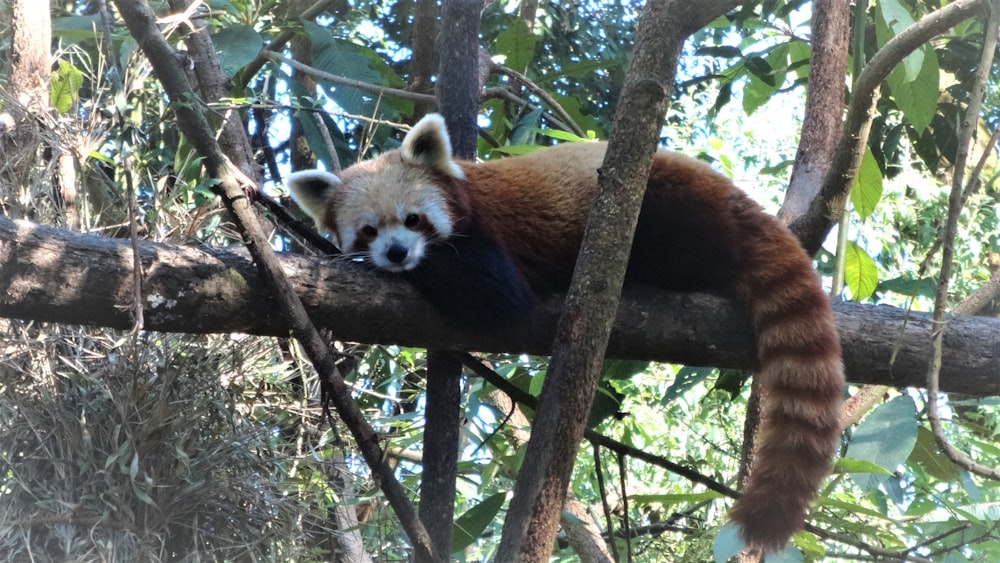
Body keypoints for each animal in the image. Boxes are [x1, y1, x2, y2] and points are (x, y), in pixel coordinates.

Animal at [288, 112, 844, 552]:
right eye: (368, 230)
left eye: (413, 220)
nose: (397, 253)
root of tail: (735, 197)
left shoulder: (487, 239)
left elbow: (494, 292)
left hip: (669, 206)